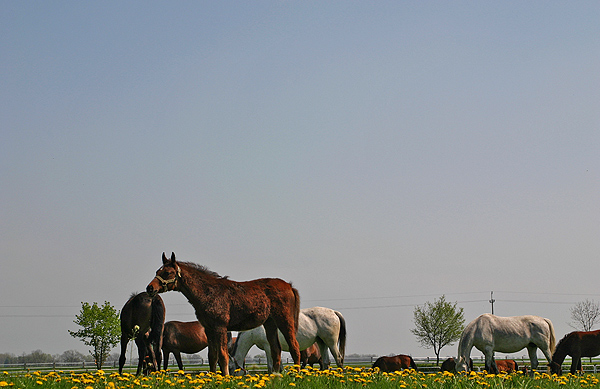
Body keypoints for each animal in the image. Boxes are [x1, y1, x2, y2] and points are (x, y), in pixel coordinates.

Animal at [148, 252, 302, 372]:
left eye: (167, 272)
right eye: (157, 272)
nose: (150, 288)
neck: (209, 293)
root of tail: (289, 286)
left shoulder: (220, 327)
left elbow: (223, 356)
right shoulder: (209, 329)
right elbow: (212, 356)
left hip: (284, 321)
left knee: (295, 347)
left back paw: (296, 375)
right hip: (270, 324)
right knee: (276, 350)